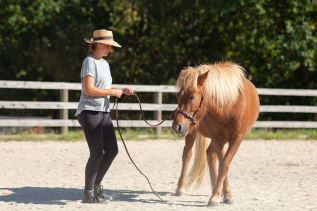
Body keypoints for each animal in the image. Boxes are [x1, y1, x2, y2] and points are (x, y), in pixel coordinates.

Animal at [172, 61, 258, 206]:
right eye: (178, 96)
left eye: (192, 97)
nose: (176, 126)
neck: (229, 107)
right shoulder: (218, 139)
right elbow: (223, 163)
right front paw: (219, 196)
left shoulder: (236, 139)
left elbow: (224, 164)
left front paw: (223, 195)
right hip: (192, 132)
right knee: (187, 155)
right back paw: (181, 188)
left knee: (210, 155)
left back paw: (214, 188)